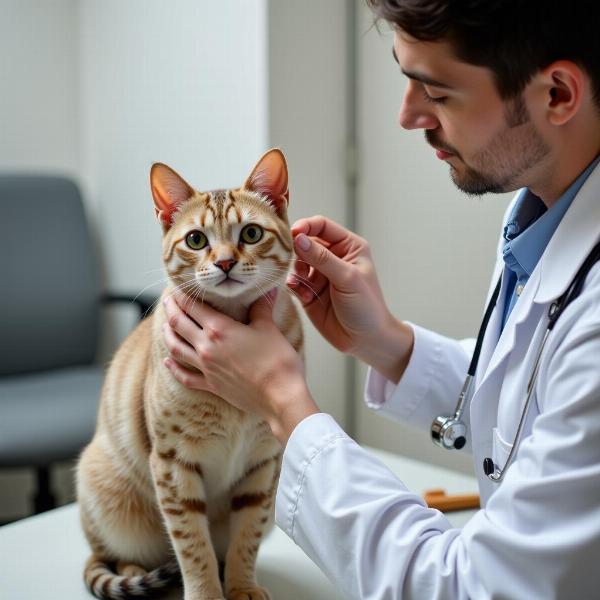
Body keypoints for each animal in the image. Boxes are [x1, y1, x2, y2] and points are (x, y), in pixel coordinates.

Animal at [77, 146, 304, 600]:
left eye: (251, 234)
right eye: (196, 240)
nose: (226, 262)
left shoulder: (262, 464)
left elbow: (245, 538)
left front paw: (241, 586)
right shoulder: (173, 464)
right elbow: (192, 547)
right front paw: (206, 593)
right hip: (106, 492)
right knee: (115, 557)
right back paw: (135, 570)